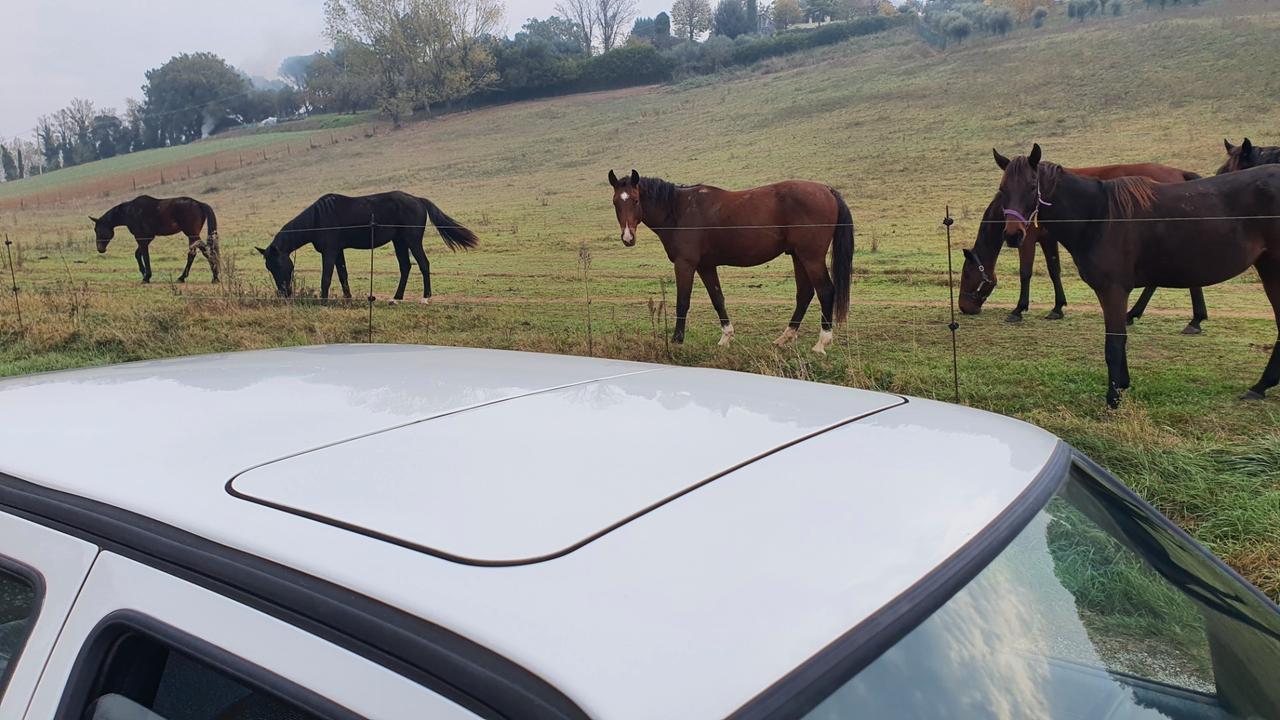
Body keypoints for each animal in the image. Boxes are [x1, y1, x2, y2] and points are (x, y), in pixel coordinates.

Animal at [91, 193, 220, 283]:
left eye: (98, 230)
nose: (100, 249)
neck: (130, 211)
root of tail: (199, 203)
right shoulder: (147, 238)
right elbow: (138, 254)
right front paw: (144, 273)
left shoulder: (141, 238)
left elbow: (145, 256)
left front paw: (146, 277)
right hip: (192, 236)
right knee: (196, 253)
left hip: (192, 234)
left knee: (204, 251)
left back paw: (211, 277)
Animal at [257, 190, 478, 299]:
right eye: (269, 267)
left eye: (278, 265)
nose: (284, 293)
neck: (318, 219)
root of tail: (418, 200)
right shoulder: (338, 251)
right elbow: (343, 275)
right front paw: (347, 299)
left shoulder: (329, 251)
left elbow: (326, 277)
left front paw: (324, 301)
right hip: (399, 241)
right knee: (405, 267)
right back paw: (396, 298)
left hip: (412, 240)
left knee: (423, 264)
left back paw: (426, 298)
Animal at [606, 166, 855, 351]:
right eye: (616, 202)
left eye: (636, 200)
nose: (627, 237)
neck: (679, 210)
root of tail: (827, 190)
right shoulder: (706, 266)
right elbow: (718, 298)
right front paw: (726, 336)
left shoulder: (685, 264)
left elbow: (682, 301)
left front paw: (677, 339)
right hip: (798, 256)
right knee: (804, 294)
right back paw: (785, 338)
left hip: (811, 257)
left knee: (825, 291)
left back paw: (821, 342)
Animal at [962, 158, 1203, 333]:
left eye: (966, 275)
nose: (964, 307)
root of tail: (1181, 174)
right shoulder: (1048, 239)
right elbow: (1054, 270)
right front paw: (1057, 308)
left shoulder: (1027, 239)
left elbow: (1025, 272)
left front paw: (1018, 309)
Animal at [993, 142, 1280, 407]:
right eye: (1002, 190)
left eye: (1032, 187)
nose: (1013, 235)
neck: (1099, 217)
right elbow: (1120, 340)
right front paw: (1122, 384)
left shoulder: (1113, 290)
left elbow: (1113, 345)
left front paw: (1112, 398)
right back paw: (1260, 385)